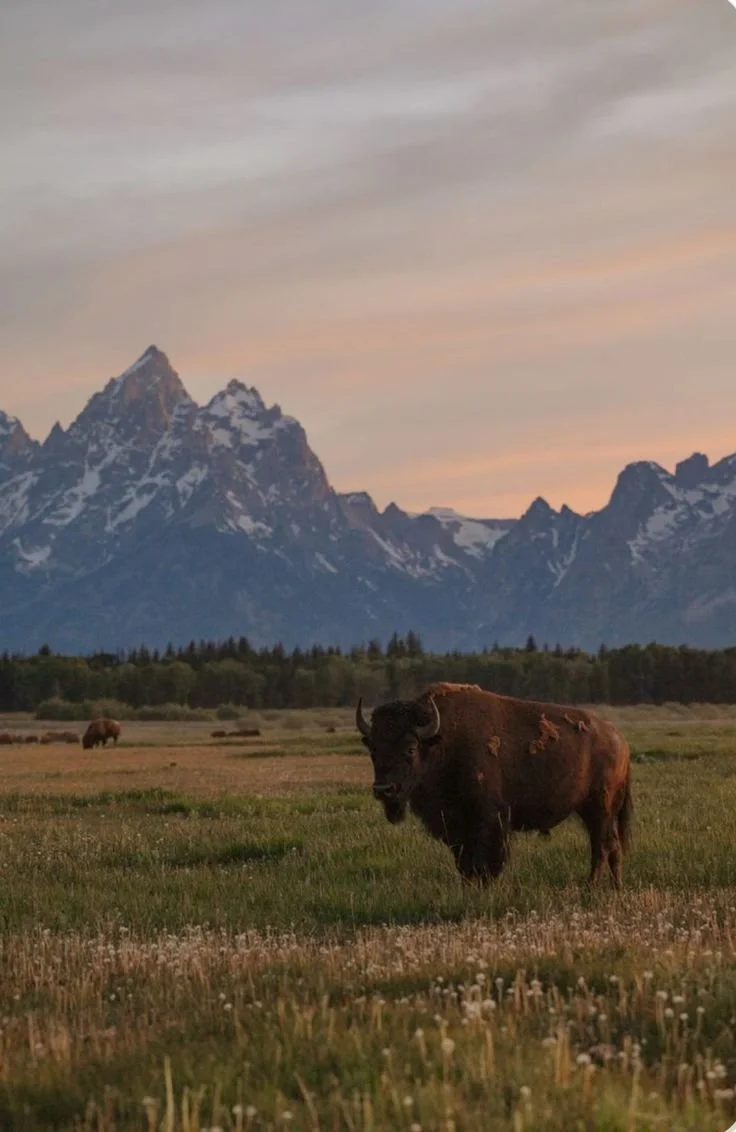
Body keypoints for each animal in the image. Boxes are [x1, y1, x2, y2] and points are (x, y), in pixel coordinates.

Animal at [356, 682, 632, 888]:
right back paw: (615, 887)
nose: (383, 790)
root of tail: (619, 739)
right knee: (613, 846)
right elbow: (464, 861)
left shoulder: (490, 818)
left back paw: (590, 887)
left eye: (410, 748)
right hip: (597, 811)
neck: (443, 743)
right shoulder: (455, 826)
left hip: (599, 809)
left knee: (601, 846)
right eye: (373, 749)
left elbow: (485, 859)